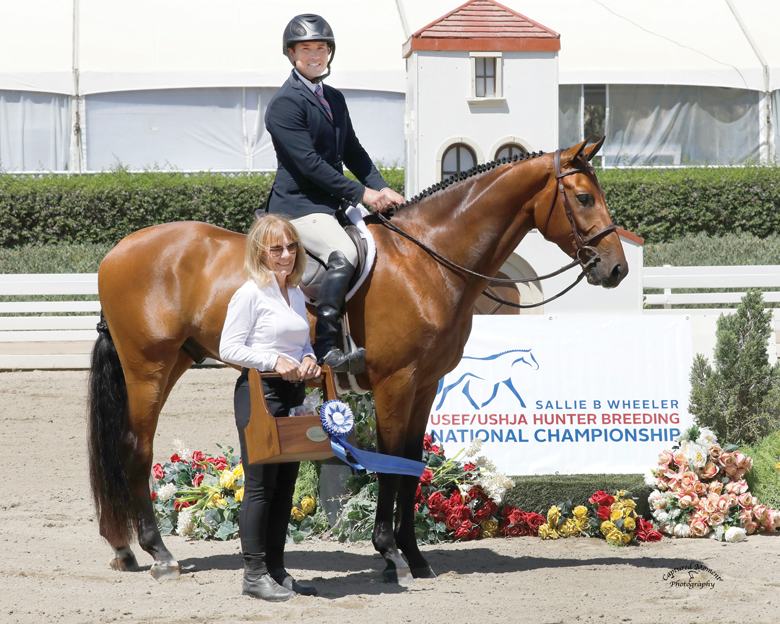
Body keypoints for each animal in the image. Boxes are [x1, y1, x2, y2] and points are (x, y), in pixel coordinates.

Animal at [88, 139, 628, 583]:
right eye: (583, 198)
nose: (616, 268)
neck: (426, 260)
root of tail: (116, 252)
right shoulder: (396, 382)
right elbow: (388, 466)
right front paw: (389, 554)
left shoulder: (425, 385)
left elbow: (410, 464)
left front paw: (415, 556)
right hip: (149, 367)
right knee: (136, 447)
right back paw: (158, 554)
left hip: (178, 359)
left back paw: (125, 550)